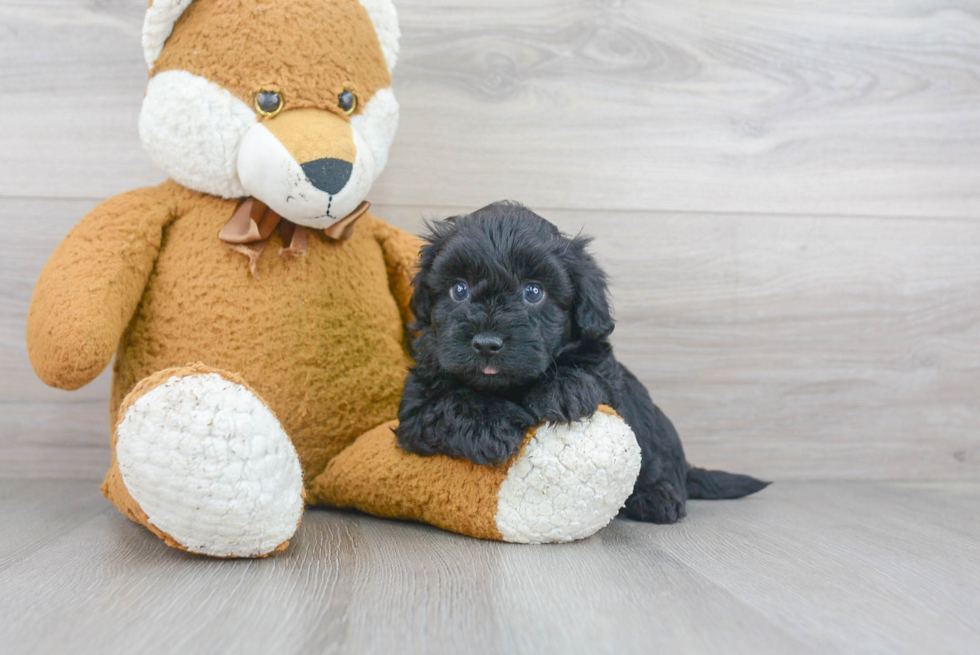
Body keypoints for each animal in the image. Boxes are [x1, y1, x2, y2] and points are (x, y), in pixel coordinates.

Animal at [396, 202, 764, 524]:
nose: (487, 343)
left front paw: (562, 390)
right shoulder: (415, 407)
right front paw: (490, 423)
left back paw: (656, 498)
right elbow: (445, 405)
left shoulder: (606, 375)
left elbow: (590, 375)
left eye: (533, 292)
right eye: (459, 290)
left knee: (659, 460)